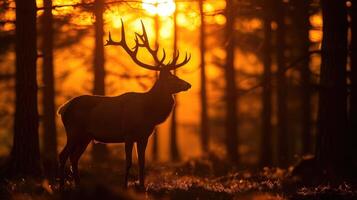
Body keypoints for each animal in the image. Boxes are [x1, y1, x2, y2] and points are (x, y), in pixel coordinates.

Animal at [57, 19, 192, 189]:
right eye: (171, 78)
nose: (188, 84)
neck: (149, 114)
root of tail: (63, 108)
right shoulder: (128, 133)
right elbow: (128, 163)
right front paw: (125, 186)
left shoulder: (144, 136)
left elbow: (142, 163)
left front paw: (142, 186)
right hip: (74, 130)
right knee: (63, 155)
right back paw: (62, 186)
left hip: (85, 136)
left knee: (74, 157)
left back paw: (78, 186)